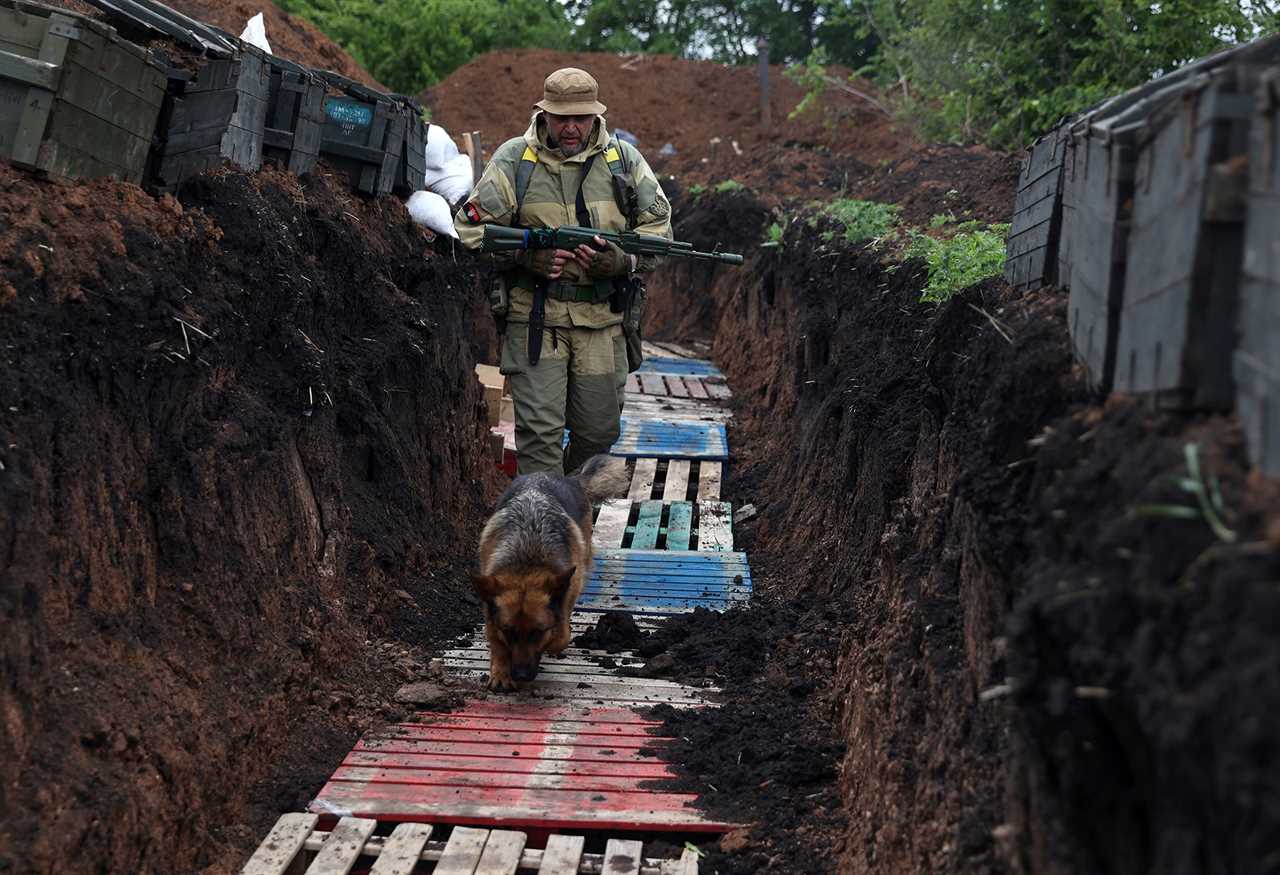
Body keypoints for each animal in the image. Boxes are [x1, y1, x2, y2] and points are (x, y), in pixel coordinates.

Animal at [471, 450, 629, 690]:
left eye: (537, 633)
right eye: (509, 632)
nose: (521, 675)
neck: (526, 558)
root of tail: (568, 478)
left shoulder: (566, 592)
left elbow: (561, 634)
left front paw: (552, 643)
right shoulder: (490, 602)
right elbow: (495, 639)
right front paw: (500, 671)